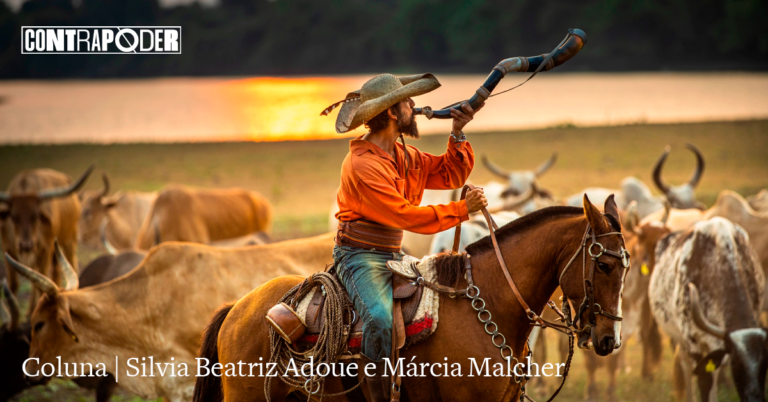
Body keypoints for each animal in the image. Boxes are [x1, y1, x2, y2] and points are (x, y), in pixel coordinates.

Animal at [0, 166, 93, 314]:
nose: (26, 245)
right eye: (14, 216)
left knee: (69, 264)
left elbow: (41, 279)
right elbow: (14, 284)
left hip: (69, 240)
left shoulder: (46, 248)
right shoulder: (7, 248)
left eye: (35, 215)